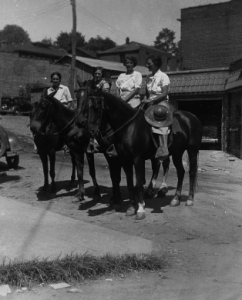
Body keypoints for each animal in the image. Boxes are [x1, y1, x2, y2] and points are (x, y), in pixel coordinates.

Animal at [86, 91, 202, 220]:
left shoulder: (138, 159)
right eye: (87, 108)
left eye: (97, 108)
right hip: (177, 153)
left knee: (191, 172)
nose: (91, 131)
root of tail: (193, 117)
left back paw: (190, 199)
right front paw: (131, 208)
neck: (129, 127)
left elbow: (138, 184)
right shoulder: (125, 160)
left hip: (192, 150)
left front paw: (140, 210)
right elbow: (130, 184)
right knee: (181, 172)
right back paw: (176, 199)